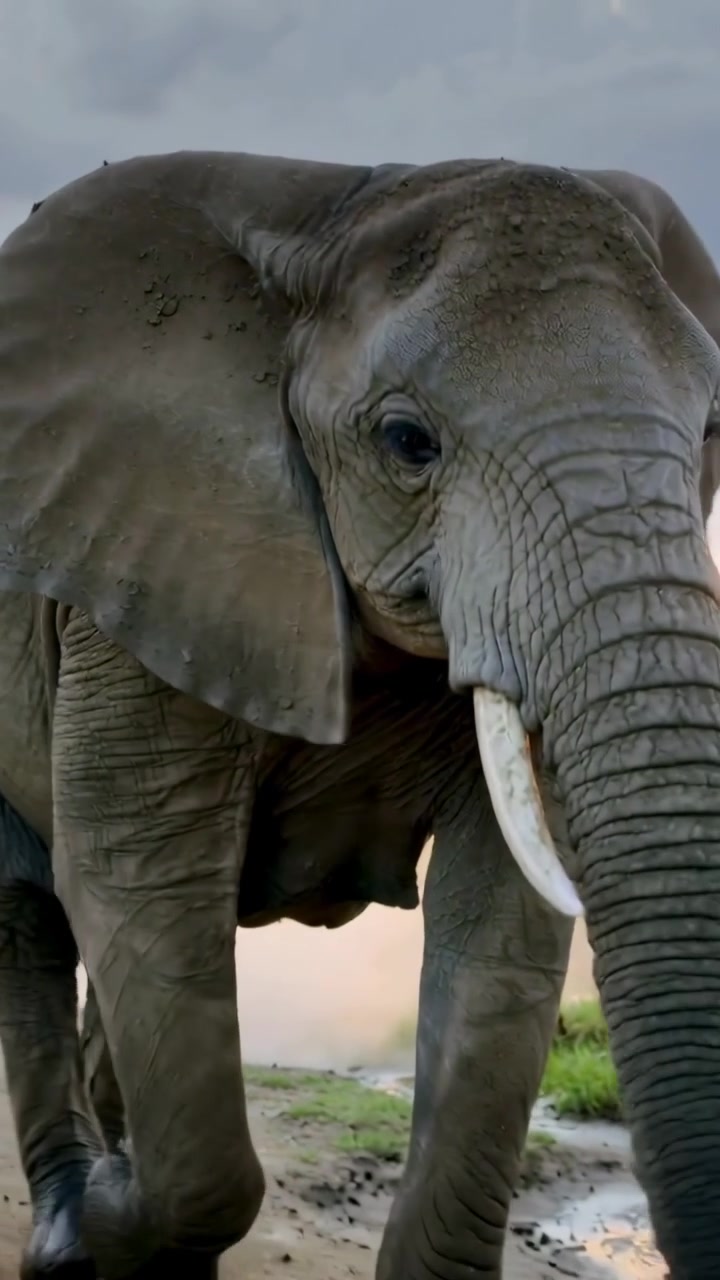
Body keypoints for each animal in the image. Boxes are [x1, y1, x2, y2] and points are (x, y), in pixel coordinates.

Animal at [0, 151, 718, 1280]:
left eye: (711, 433)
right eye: (407, 442)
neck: (335, 215)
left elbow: (501, 930)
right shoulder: (137, 564)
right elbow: (138, 876)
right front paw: (109, 1219)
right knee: (28, 918)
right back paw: (72, 1224)